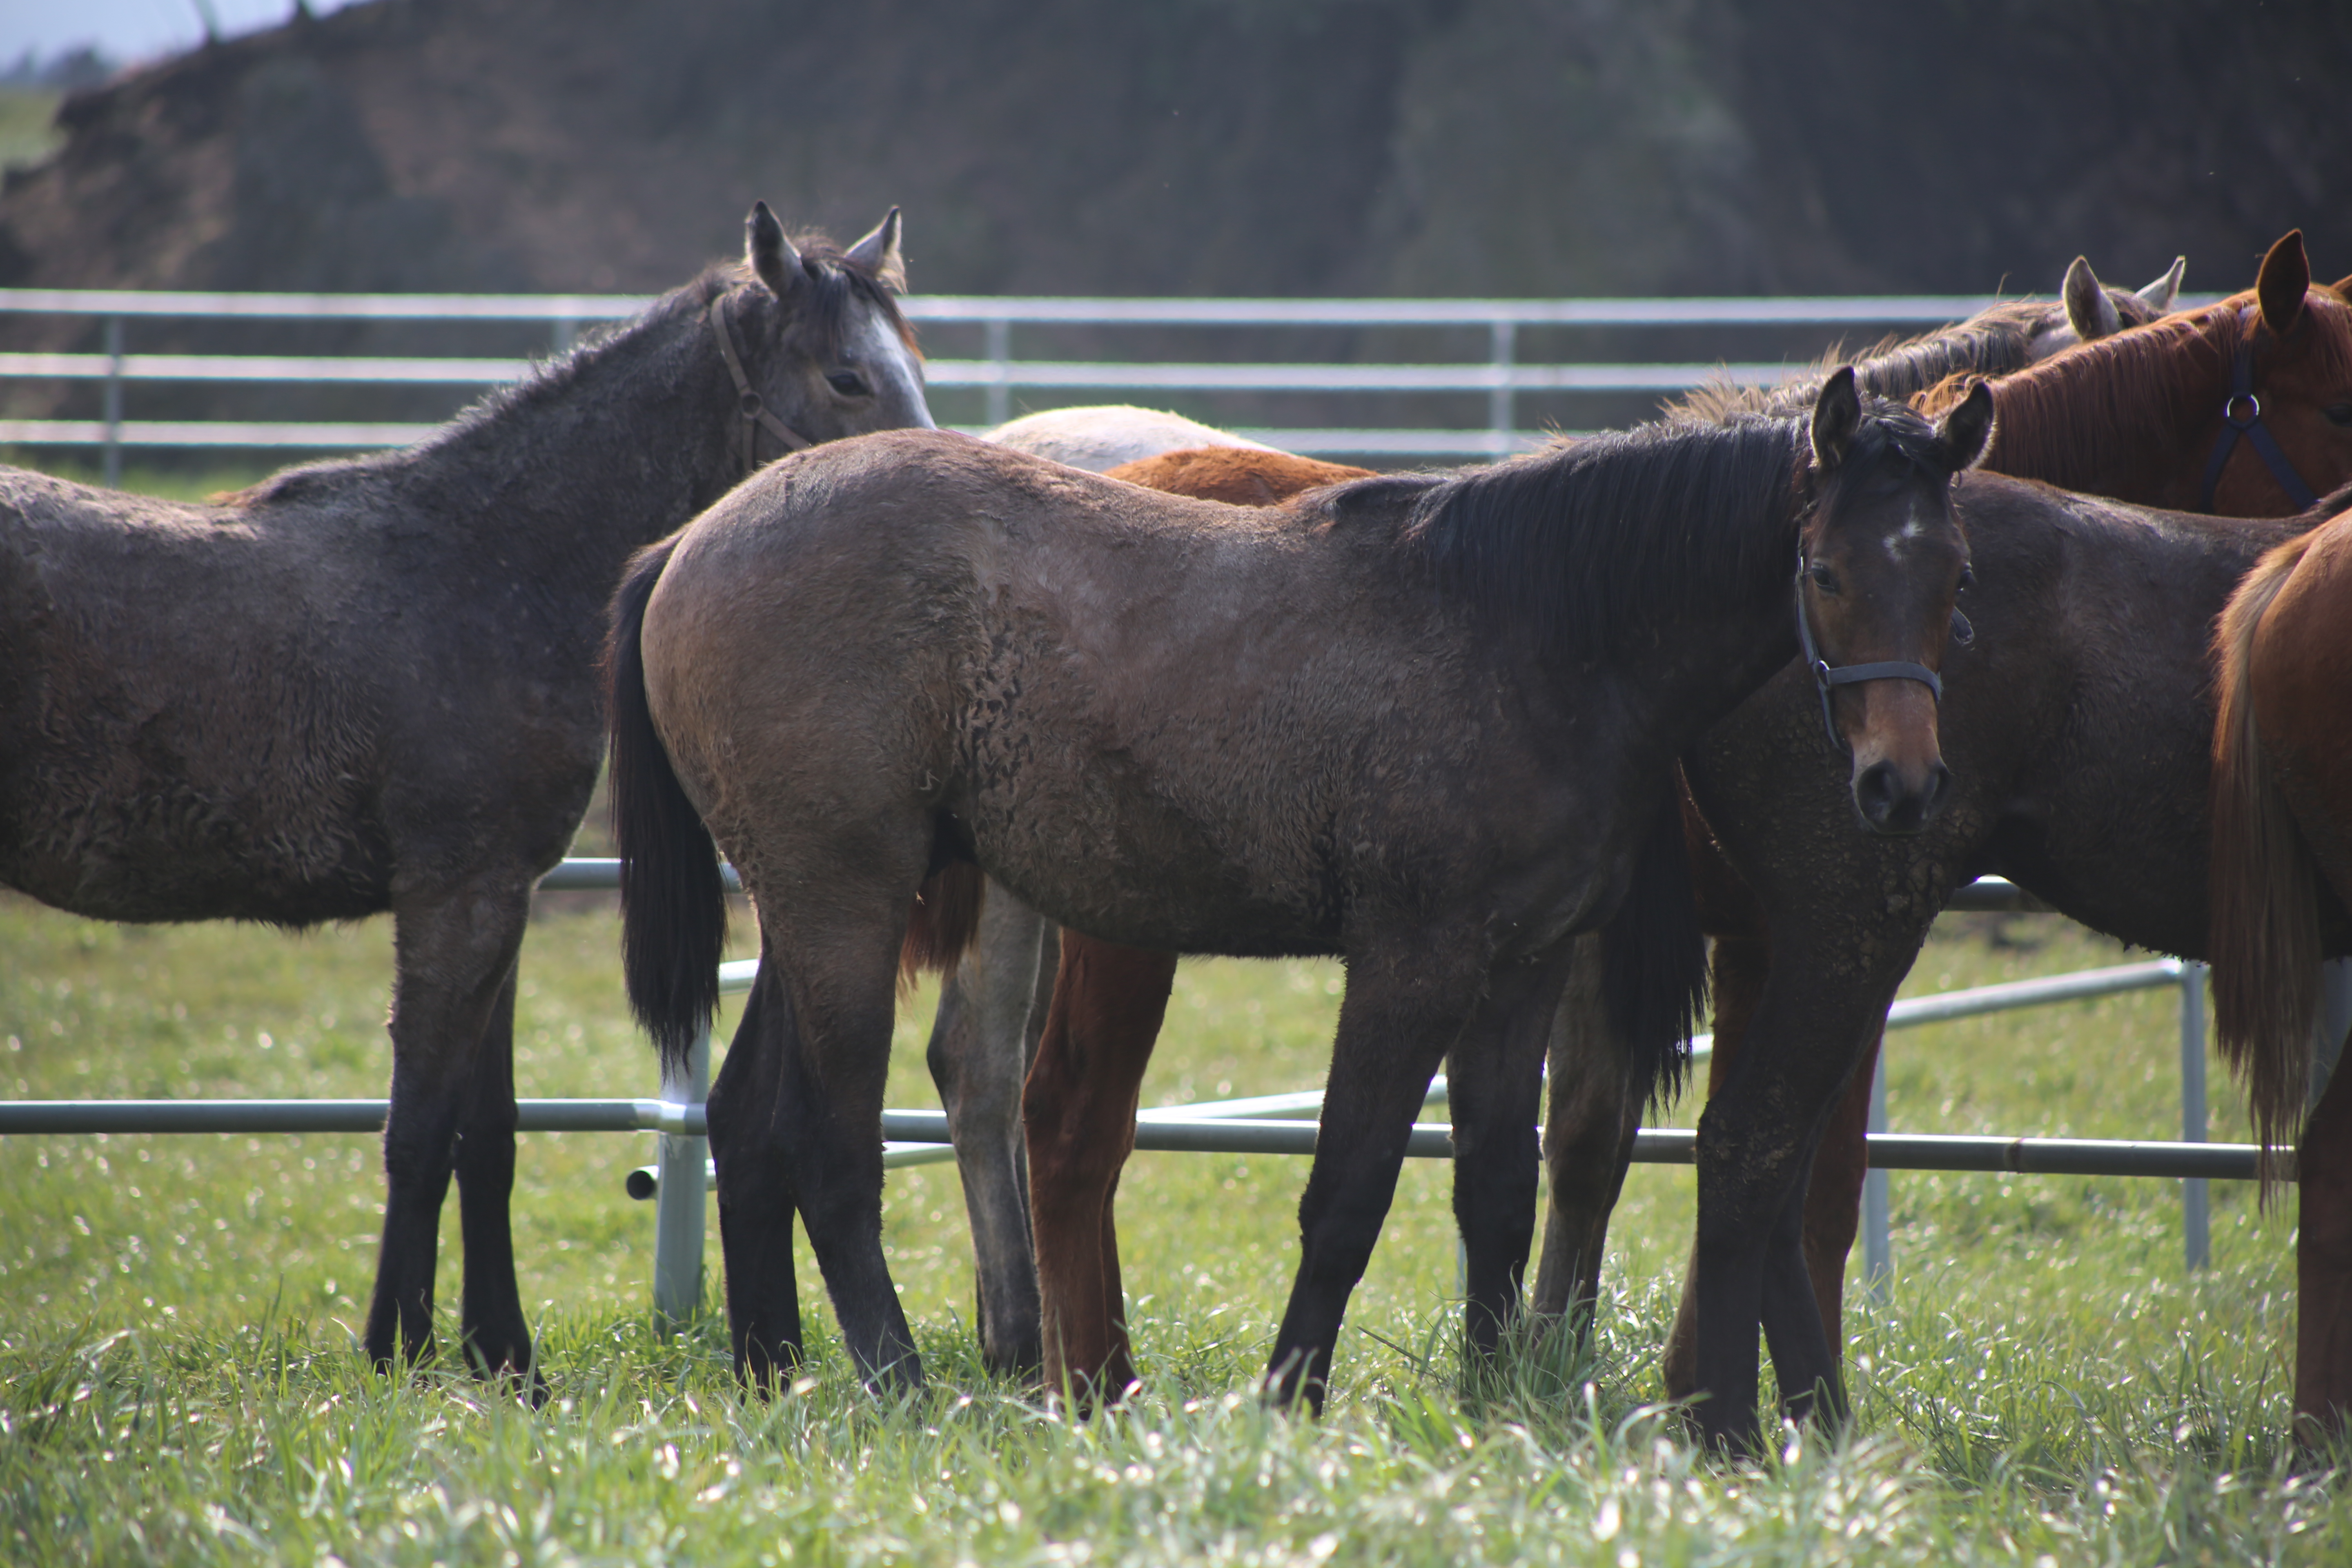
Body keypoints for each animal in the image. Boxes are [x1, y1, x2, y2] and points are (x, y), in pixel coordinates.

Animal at [0, 202, 936, 1392]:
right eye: (847, 378)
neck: (488, 564)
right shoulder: (455, 897)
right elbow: (419, 1126)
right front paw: (394, 1348)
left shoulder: (500, 897)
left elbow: (485, 1133)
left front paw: (503, 1356)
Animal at [607, 376, 1985, 1401]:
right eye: (1826, 573)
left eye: (1957, 577)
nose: (1902, 783)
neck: (1533, 625)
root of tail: (690, 543)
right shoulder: (1412, 960)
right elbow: (1351, 1188)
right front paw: (1290, 1398)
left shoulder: (1524, 963)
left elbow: (1497, 1185)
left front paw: (1493, 1400)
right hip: (847, 908)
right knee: (833, 1143)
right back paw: (895, 1382)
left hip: (814, 914)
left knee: (750, 1121)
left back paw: (776, 1376)